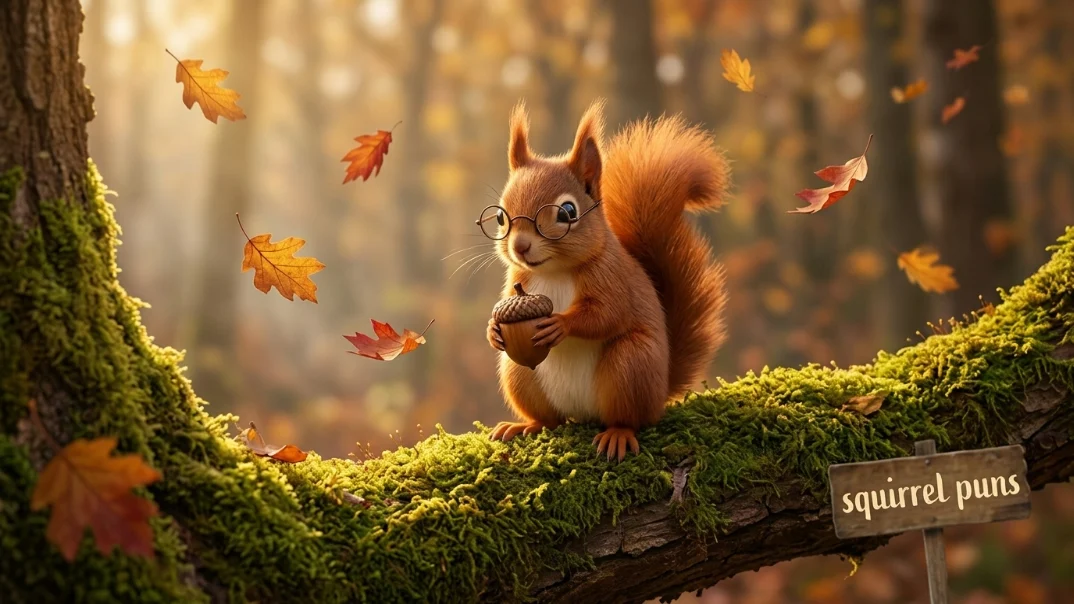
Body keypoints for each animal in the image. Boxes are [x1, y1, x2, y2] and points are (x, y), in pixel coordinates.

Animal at [485, 100, 729, 461]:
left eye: (567, 212)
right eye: (501, 217)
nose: (520, 247)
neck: (553, 271)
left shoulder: (612, 277)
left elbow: (607, 314)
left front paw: (561, 323)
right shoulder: (517, 279)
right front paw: (492, 330)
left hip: (631, 365)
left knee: (630, 417)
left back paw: (617, 434)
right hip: (518, 373)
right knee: (550, 419)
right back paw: (526, 425)